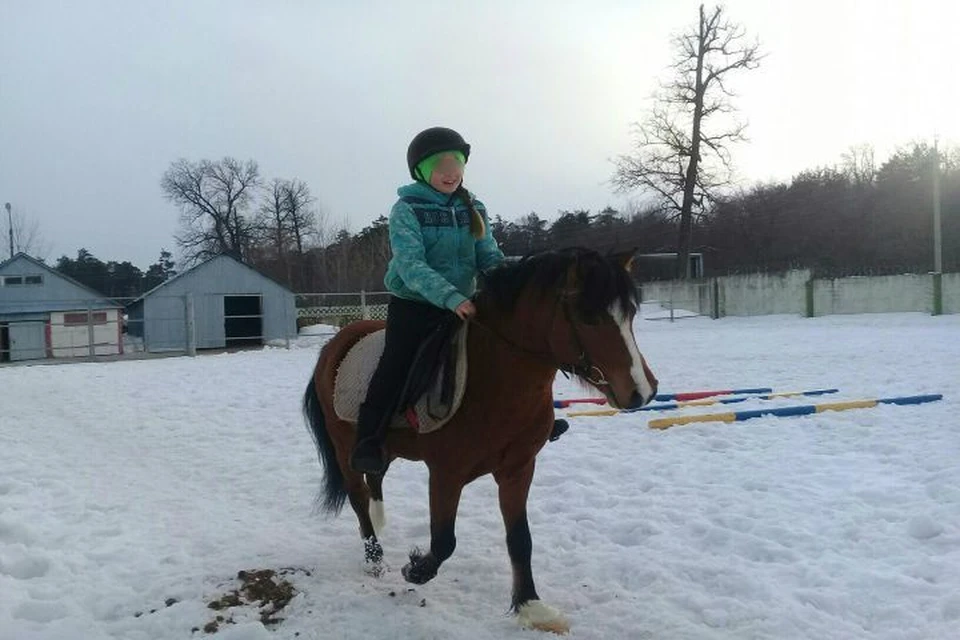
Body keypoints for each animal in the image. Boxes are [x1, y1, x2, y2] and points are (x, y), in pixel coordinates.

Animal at [304, 248, 656, 632]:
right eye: (588, 317)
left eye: (630, 314)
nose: (642, 391)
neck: (493, 378)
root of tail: (333, 344)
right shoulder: (446, 474)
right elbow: (444, 540)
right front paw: (415, 570)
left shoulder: (518, 469)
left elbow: (520, 539)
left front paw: (531, 606)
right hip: (344, 445)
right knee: (357, 495)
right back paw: (374, 558)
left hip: (387, 446)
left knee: (375, 476)